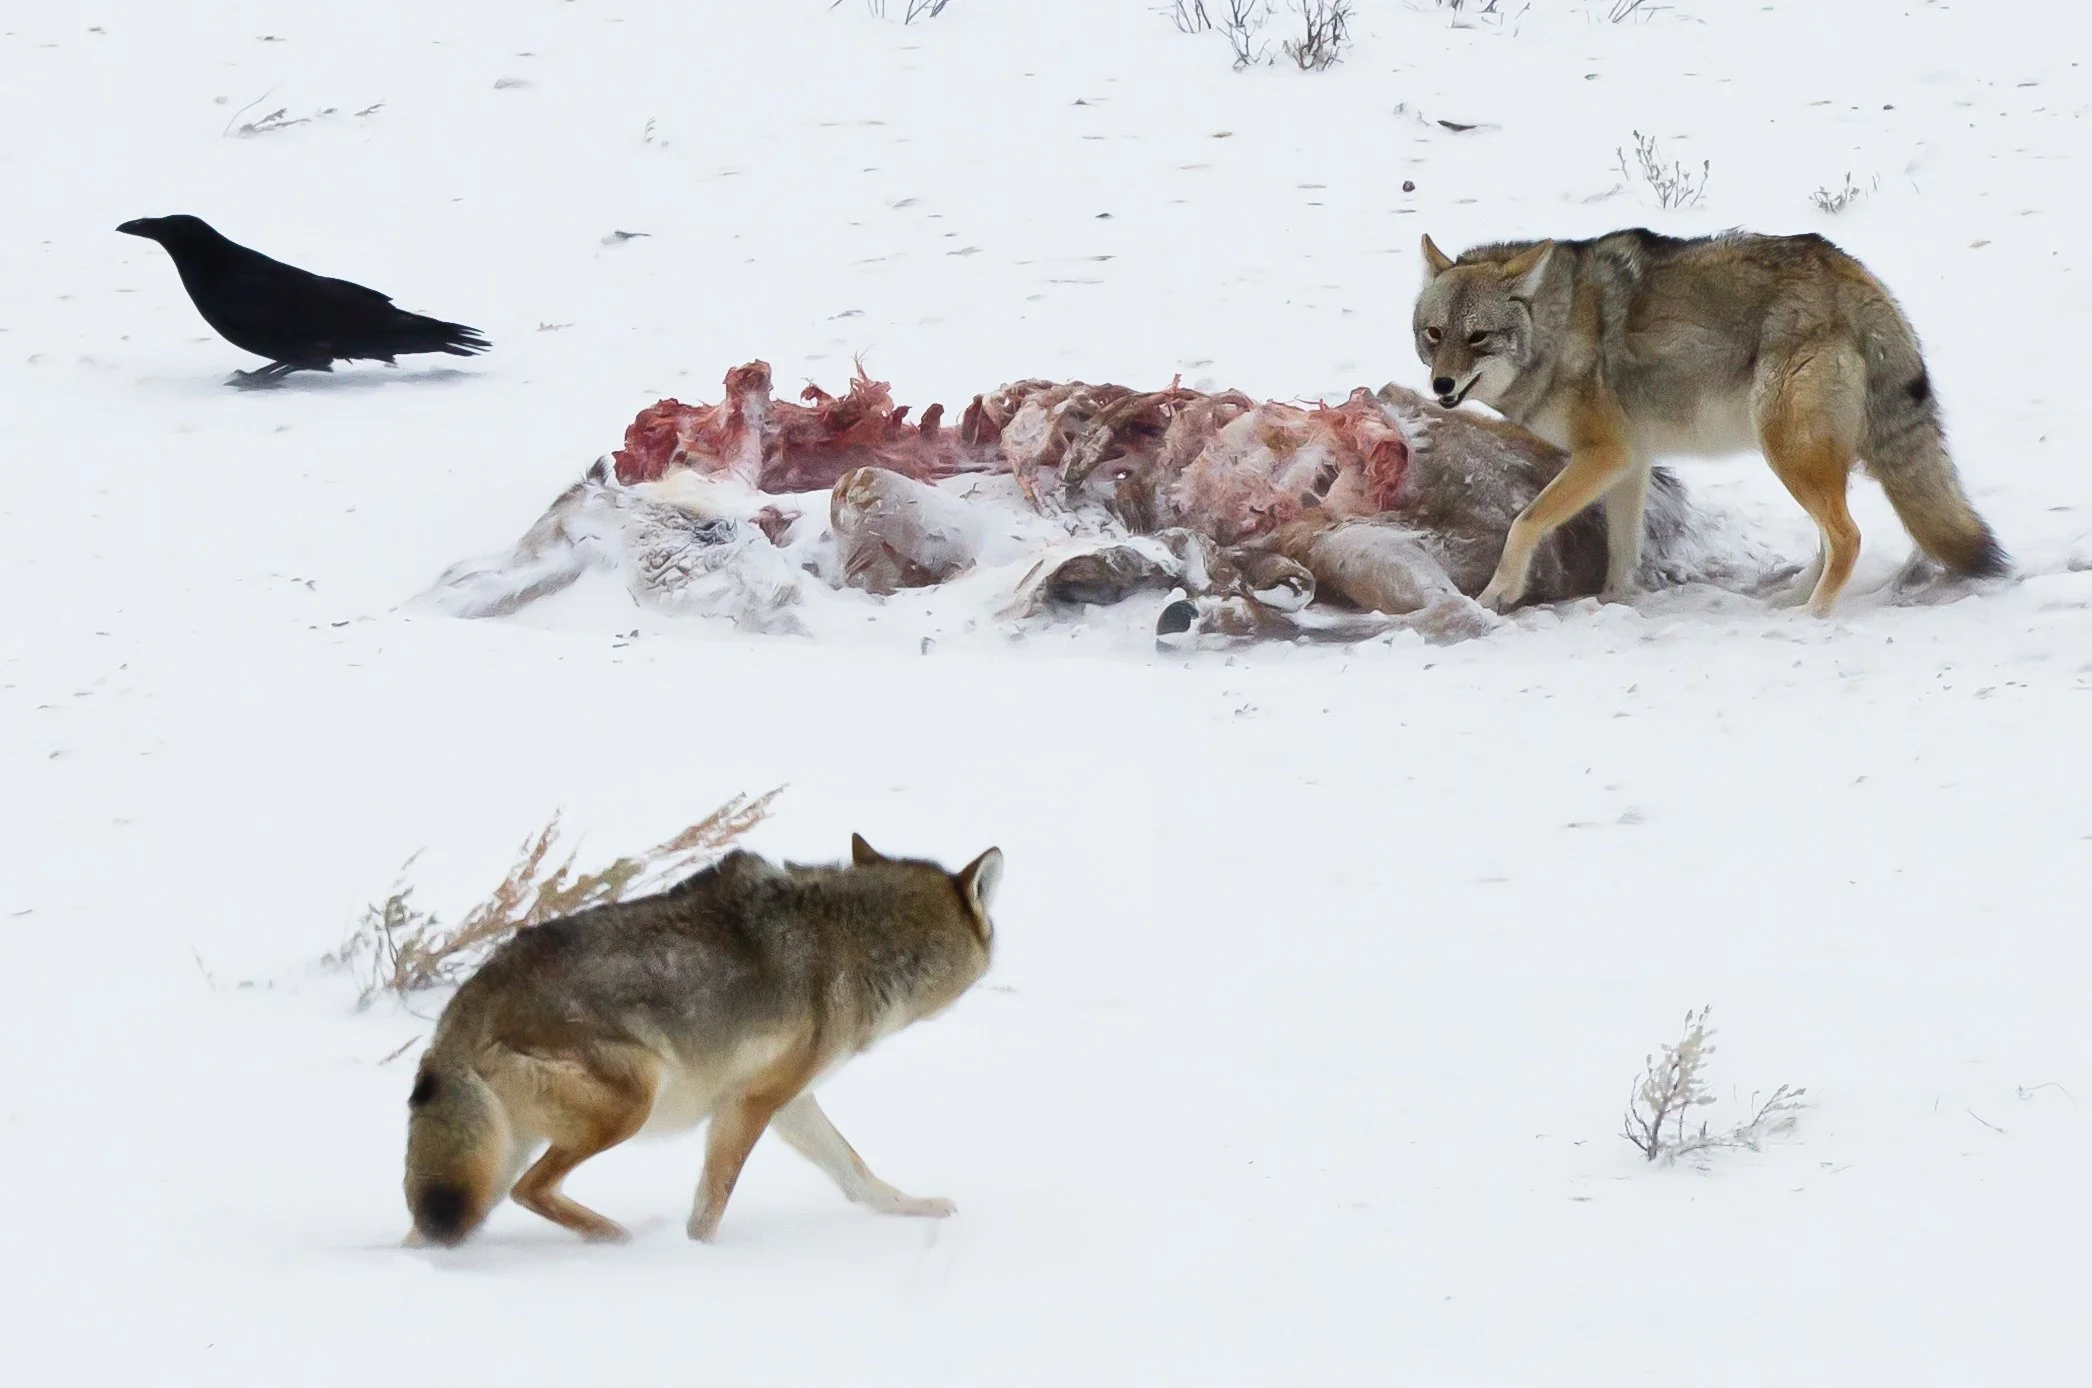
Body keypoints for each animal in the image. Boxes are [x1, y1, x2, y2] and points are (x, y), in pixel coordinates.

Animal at [402, 834, 1002, 1247]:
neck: (858, 945)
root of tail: (462, 1008)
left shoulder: (791, 1102)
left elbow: (857, 1175)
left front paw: (918, 1207)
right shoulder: (747, 1104)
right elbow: (710, 1207)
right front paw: (701, 1259)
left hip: (491, 1163)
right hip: (632, 1103)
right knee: (531, 1190)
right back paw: (620, 1239)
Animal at [1413, 228, 2007, 615]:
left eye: (1478, 337)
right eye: (1435, 334)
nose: (1440, 386)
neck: (1553, 335)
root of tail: (1852, 273)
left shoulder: (1604, 455)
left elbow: (1525, 521)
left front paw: (1496, 595)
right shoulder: (1629, 461)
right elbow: (1621, 552)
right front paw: (1613, 604)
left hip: (1787, 453)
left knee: (1848, 537)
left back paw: (1810, 617)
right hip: (1799, 459)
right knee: (1831, 538)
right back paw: (1789, 600)